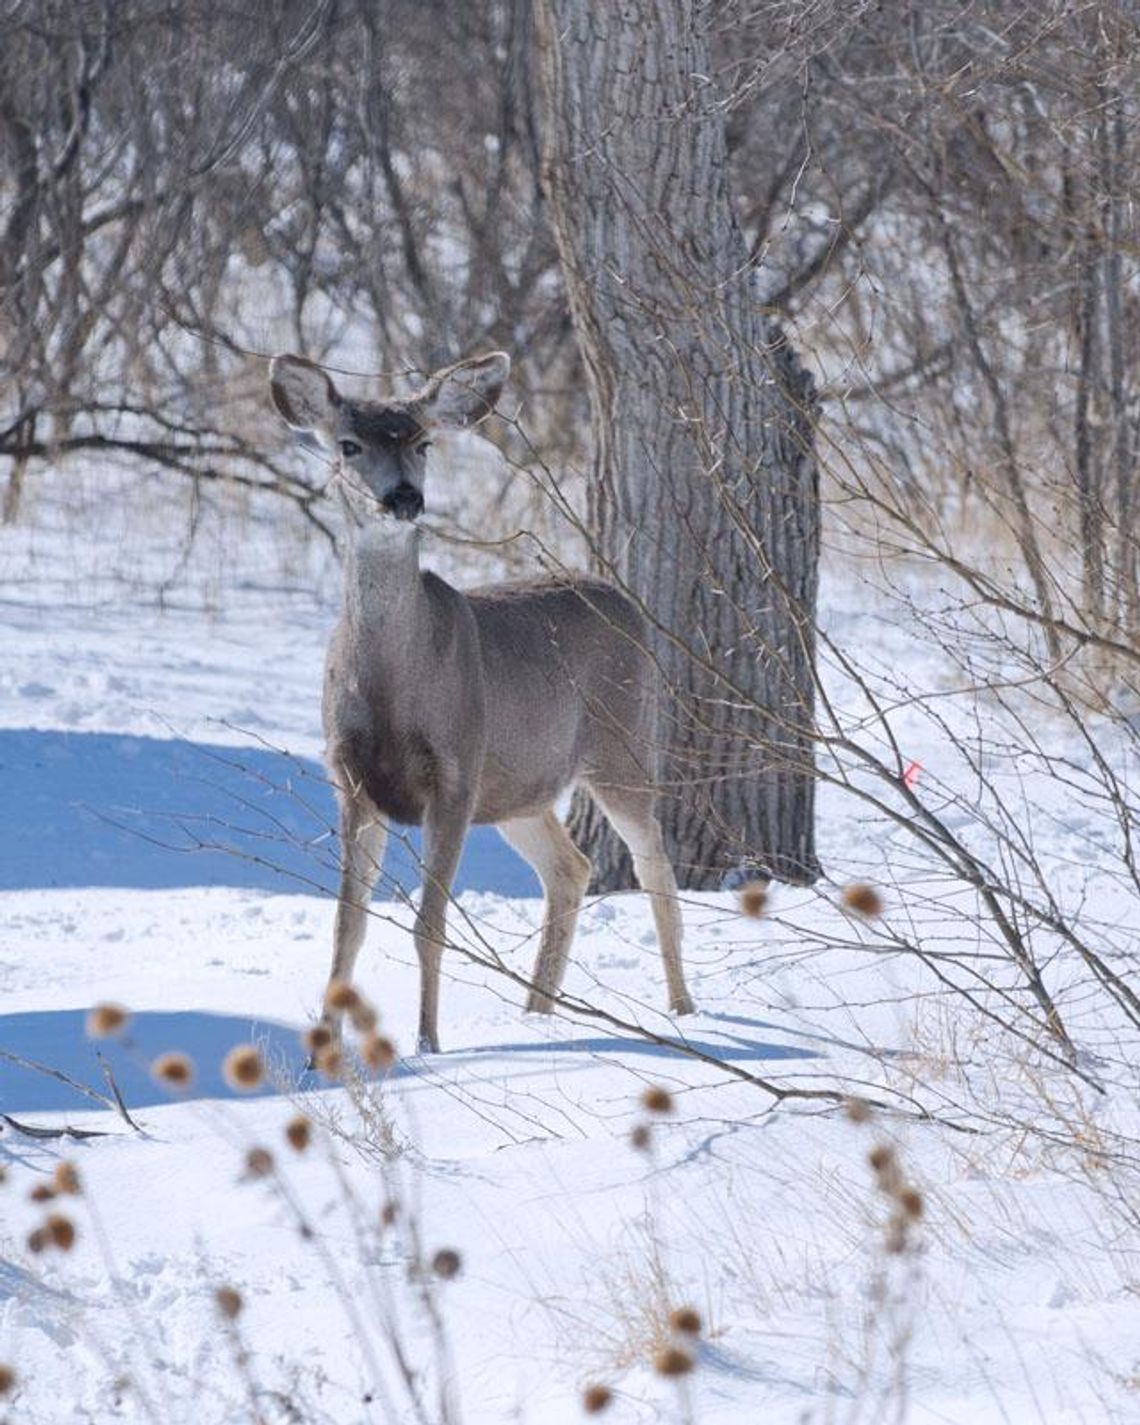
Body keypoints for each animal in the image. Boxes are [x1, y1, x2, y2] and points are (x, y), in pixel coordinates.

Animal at [269, 350, 695, 1054]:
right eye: (349, 444)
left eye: (422, 441)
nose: (404, 498)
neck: (392, 687)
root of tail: (624, 599)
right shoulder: (350, 778)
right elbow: (346, 926)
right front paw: (320, 1050)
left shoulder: (455, 771)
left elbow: (428, 924)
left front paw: (427, 1044)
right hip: (520, 788)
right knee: (571, 867)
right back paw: (536, 1015)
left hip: (623, 741)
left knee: (652, 860)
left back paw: (682, 1006)